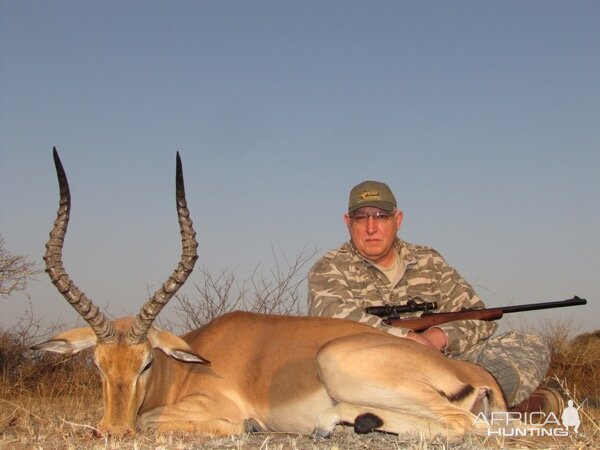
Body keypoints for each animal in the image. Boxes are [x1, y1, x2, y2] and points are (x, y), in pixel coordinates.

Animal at [34, 148, 506, 440]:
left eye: (146, 362)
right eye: (97, 364)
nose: (114, 431)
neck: (188, 366)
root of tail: (472, 372)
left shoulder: (209, 409)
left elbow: (156, 421)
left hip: (338, 361)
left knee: (465, 425)